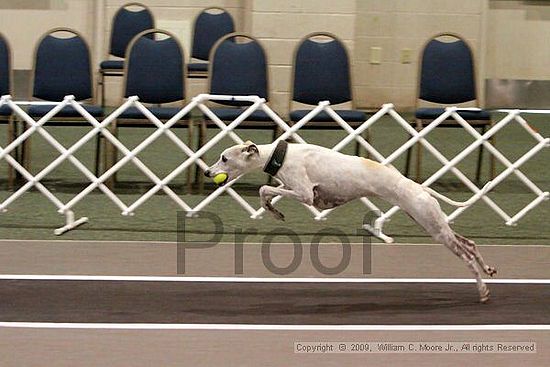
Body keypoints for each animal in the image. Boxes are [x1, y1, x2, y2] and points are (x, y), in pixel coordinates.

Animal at [207, 140, 500, 302]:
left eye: (224, 157)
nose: (208, 172)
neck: (279, 155)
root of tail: (419, 187)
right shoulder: (298, 191)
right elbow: (266, 192)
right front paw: (272, 210)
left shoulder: (304, 194)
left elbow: (265, 189)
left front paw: (272, 209)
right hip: (433, 223)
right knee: (470, 244)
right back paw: (488, 270)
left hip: (435, 228)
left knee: (466, 256)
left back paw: (483, 290)